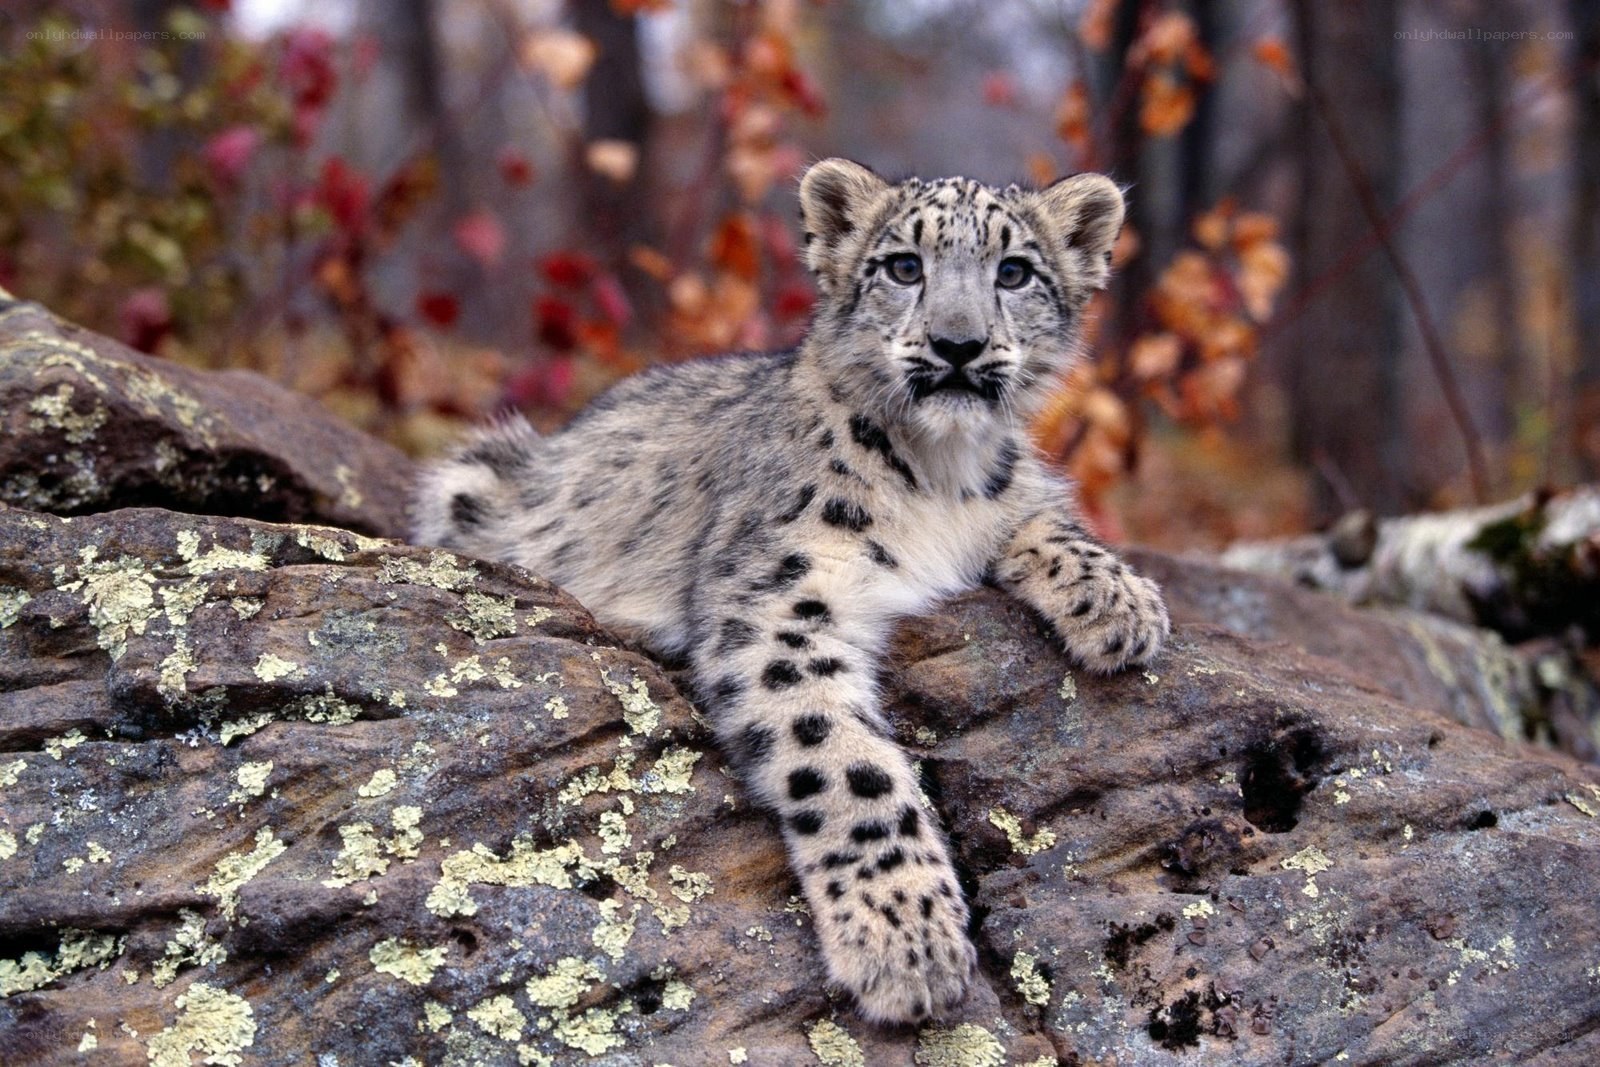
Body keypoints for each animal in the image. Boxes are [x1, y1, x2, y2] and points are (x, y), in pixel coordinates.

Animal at [411, 158, 1169, 1025]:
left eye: (1014, 272)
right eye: (902, 266)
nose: (959, 344)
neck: (940, 476)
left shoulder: (1009, 496)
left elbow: (1043, 512)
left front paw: (1122, 603)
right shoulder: (779, 602)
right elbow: (847, 765)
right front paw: (907, 938)